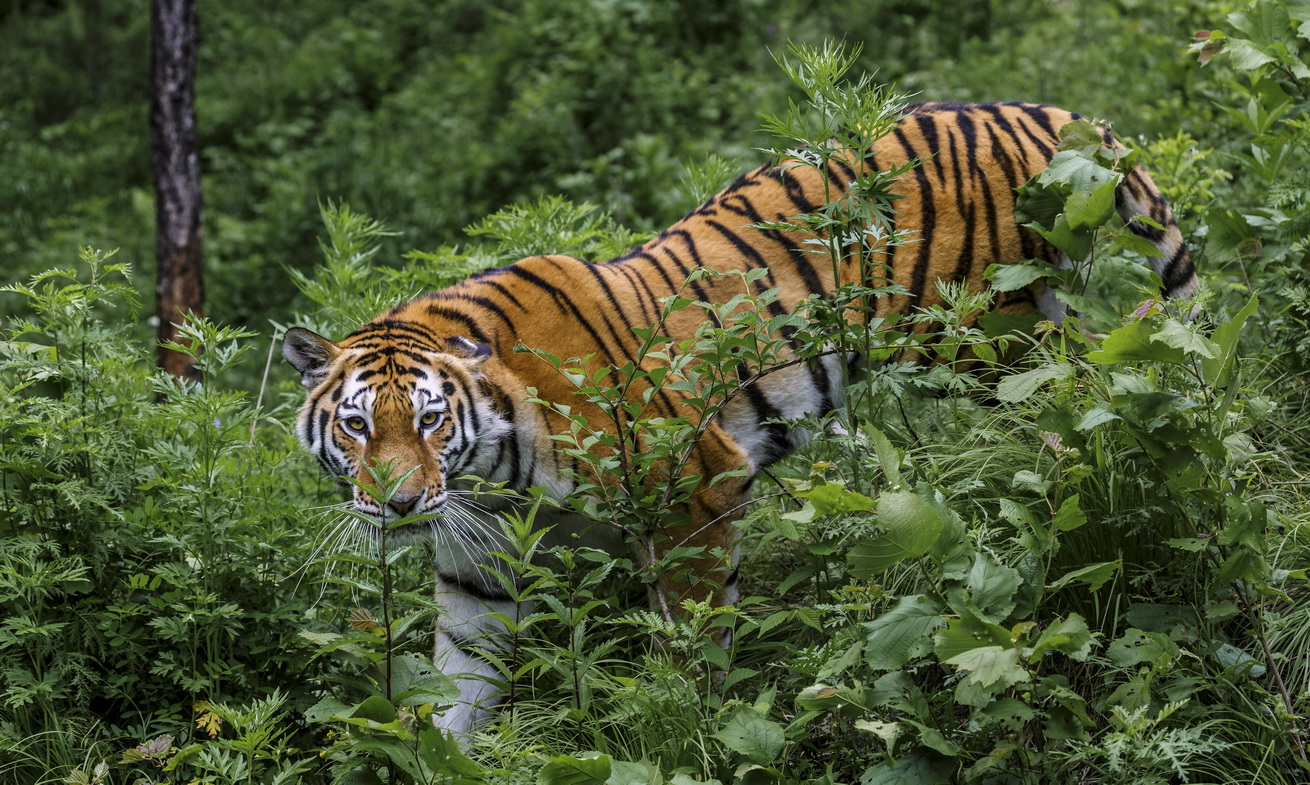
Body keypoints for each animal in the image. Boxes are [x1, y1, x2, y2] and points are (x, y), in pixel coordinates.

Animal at [283, 101, 1198, 737]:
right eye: (359, 427)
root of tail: (1047, 114)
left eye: (431, 420)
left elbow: (692, 644)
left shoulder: (694, 488)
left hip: (995, 340)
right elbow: (460, 691)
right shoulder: (481, 566)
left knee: (1063, 421)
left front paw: (687, 728)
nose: (399, 504)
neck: (489, 474)